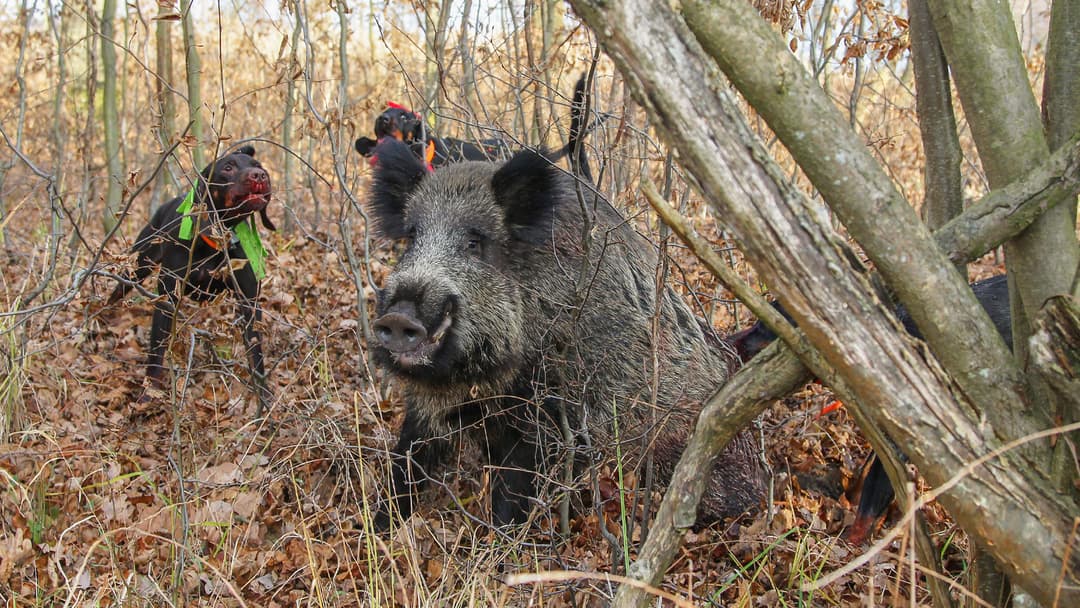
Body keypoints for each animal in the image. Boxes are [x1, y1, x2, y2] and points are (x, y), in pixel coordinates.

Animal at [110, 144, 276, 416]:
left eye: (258, 166)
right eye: (227, 168)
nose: (260, 176)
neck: (215, 242)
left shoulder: (248, 301)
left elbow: (256, 356)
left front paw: (264, 399)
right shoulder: (168, 298)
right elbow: (156, 355)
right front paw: (149, 395)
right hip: (138, 264)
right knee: (115, 293)